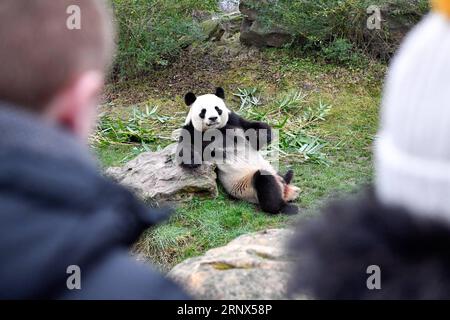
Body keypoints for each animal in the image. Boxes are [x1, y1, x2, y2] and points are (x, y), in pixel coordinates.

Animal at [176, 87, 298, 215]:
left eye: (217, 108)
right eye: (203, 111)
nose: (213, 118)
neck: (215, 129)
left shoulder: (234, 120)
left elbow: (253, 128)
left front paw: (264, 136)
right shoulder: (192, 131)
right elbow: (186, 148)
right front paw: (193, 160)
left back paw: (288, 176)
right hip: (246, 187)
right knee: (264, 181)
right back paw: (283, 207)